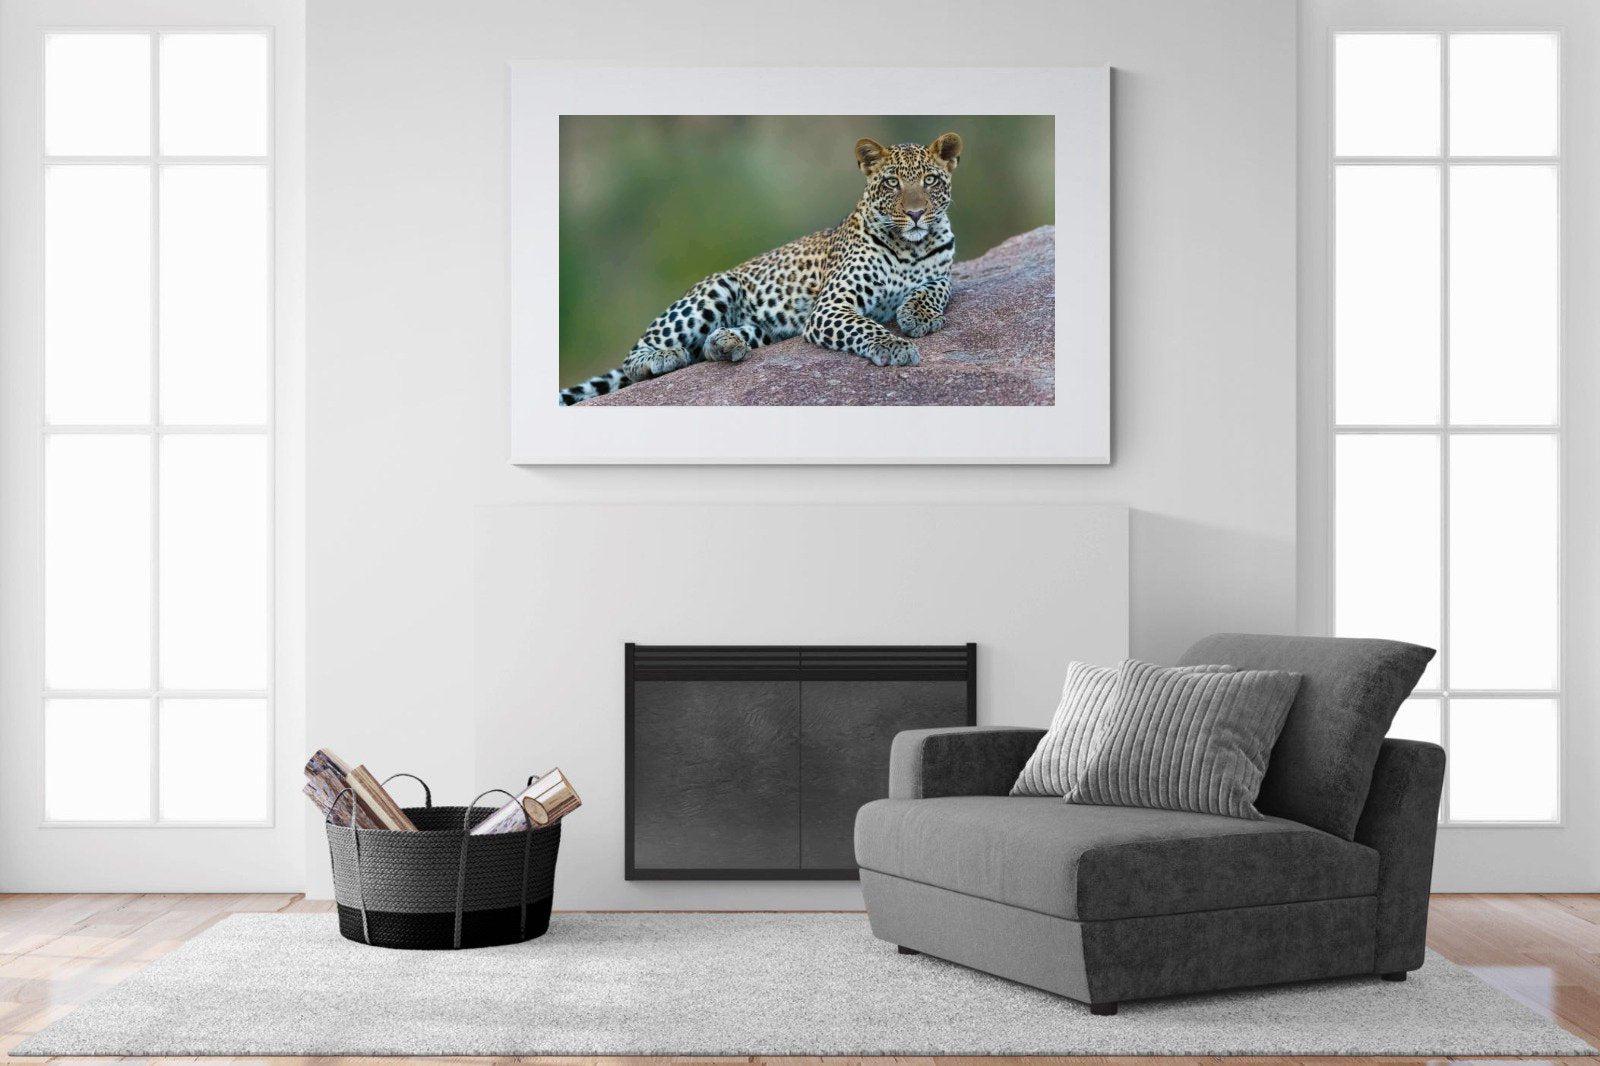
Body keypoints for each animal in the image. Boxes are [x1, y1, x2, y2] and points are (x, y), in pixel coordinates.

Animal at [558, 131, 963, 405]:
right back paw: (663, 357)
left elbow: (934, 290)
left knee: (711, 346)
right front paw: (895, 345)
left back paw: (725, 343)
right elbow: (865, 326)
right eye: (891, 183)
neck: (911, 246)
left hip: (766, 328)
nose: (916, 214)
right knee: (636, 355)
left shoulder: (942, 274)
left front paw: (917, 315)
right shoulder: (831, 306)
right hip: (714, 290)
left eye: (930, 180)